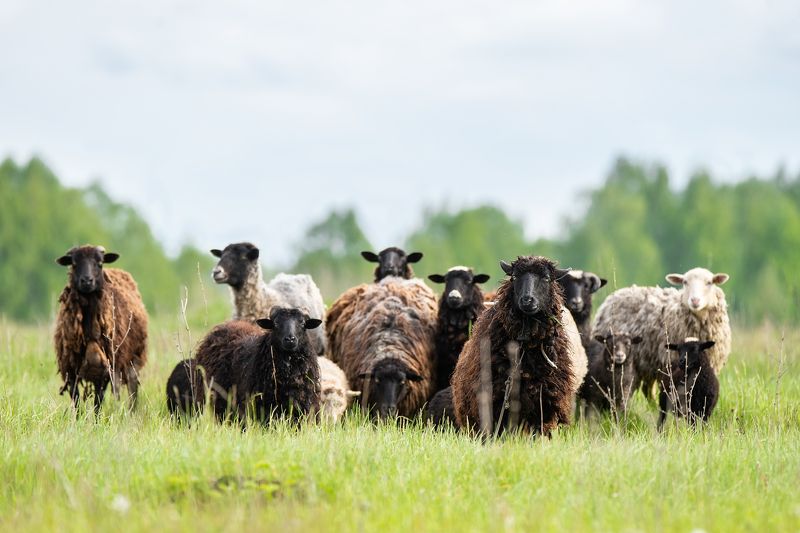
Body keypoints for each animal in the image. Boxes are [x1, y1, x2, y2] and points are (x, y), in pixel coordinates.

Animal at [53, 245, 148, 412]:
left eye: (100, 263)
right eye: (74, 263)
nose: (87, 280)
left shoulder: (104, 372)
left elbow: (98, 402)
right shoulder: (71, 370)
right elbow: (76, 401)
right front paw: (78, 418)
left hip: (132, 359)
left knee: (132, 388)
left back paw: (130, 412)